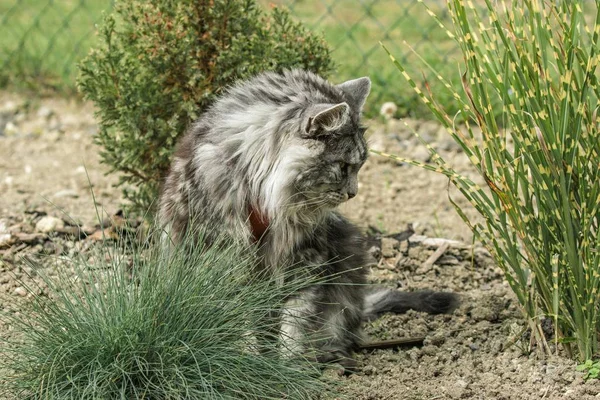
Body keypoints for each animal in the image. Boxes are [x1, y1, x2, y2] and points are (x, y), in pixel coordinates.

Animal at [157, 69, 458, 372]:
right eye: (344, 166)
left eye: (359, 167)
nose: (353, 192)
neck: (262, 194)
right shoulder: (226, 259)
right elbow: (243, 322)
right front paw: (249, 360)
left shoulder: (306, 257)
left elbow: (294, 321)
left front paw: (289, 365)